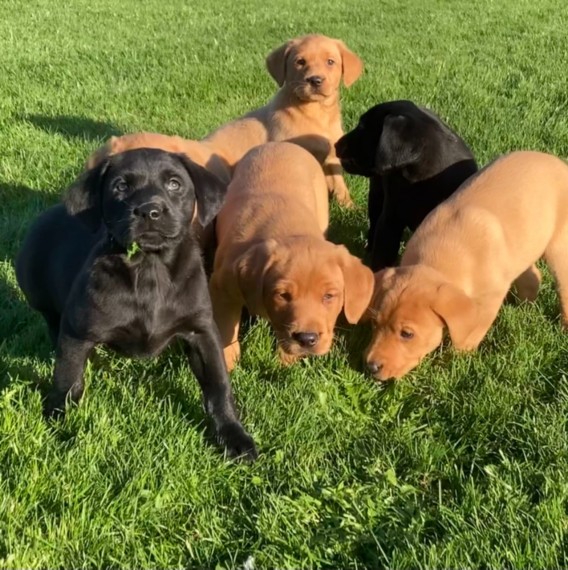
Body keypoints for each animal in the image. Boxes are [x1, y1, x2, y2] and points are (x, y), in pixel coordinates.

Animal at [16, 148, 258, 462]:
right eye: (121, 186)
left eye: (174, 184)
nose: (149, 211)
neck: (149, 270)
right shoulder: (77, 330)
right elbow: (67, 378)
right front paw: (58, 418)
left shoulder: (202, 332)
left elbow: (219, 386)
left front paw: (234, 436)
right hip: (36, 288)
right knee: (52, 322)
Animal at [86, 34, 362, 205]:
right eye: (300, 62)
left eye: (330, 62)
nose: (315, 80)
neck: (316, 114)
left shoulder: (332, 154)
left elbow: (338, 181)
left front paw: (348, 206)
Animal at [211, 141, 374, 368]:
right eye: (282, 295)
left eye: (329, 296)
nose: (307, 339)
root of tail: (282, 143)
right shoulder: (221, 287)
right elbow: (225, 329)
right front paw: (227, 364)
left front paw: (285, 362)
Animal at [362, 151, 568, 380]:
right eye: (375, 323)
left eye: (407, 334)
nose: (370, 366)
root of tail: (558, 162)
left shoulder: (490, 299)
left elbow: (471, 332)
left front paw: (457, 360)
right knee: (532, 276)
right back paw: (524, 307)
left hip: (560, 247)